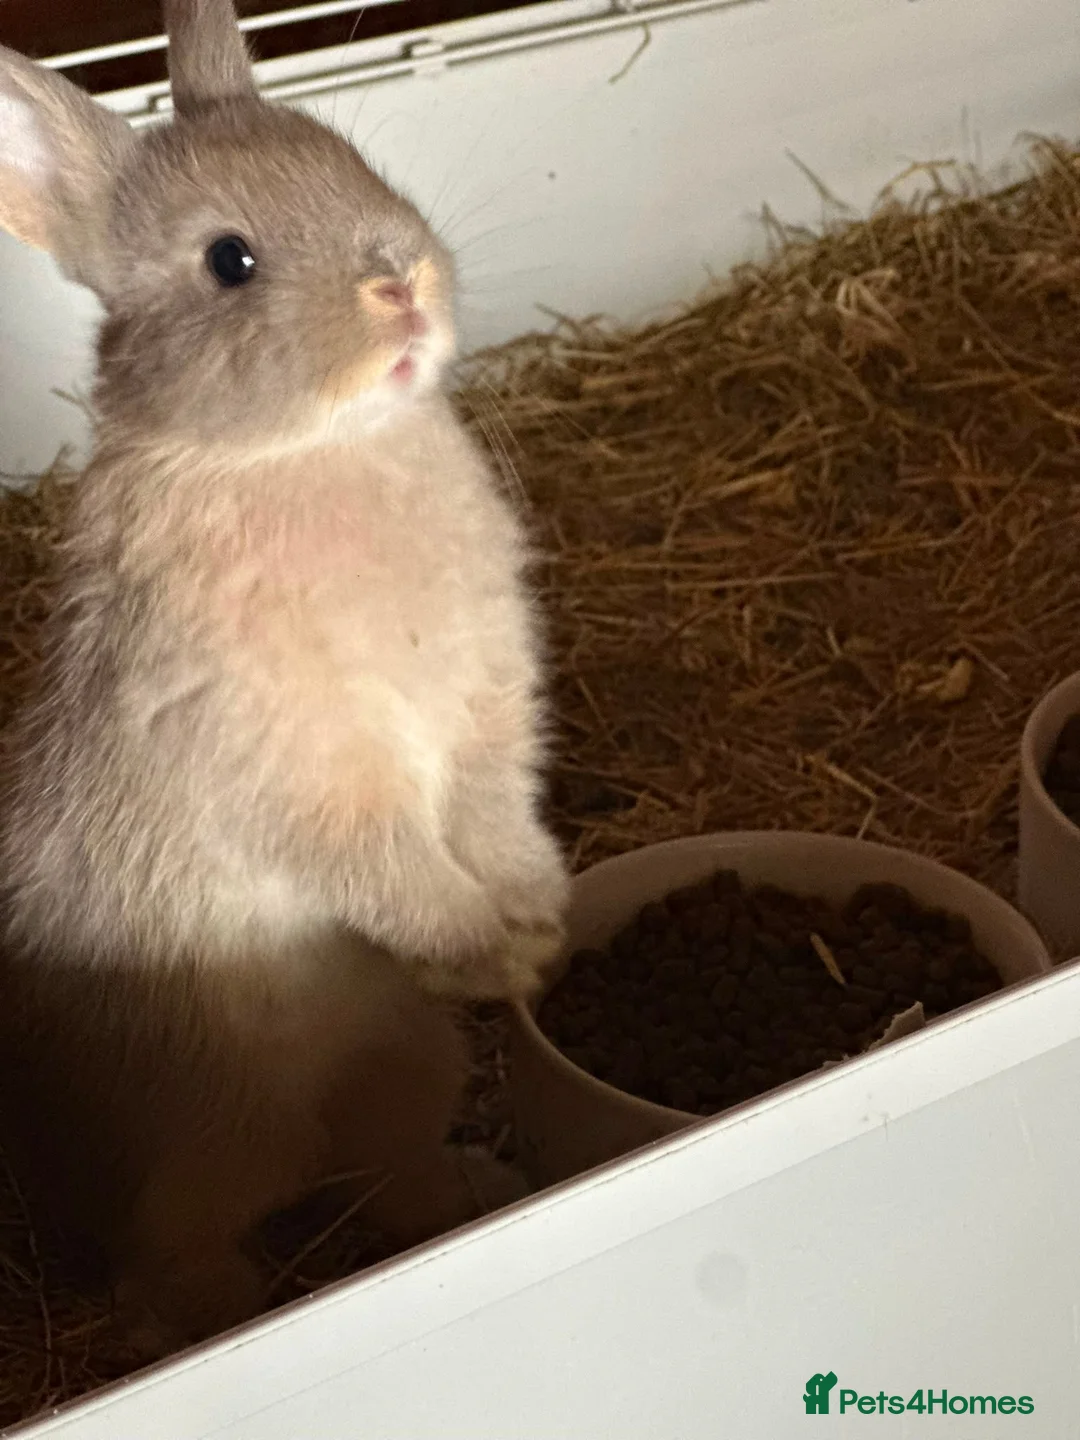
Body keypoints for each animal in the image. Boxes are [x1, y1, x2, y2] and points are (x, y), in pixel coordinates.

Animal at [0, 0, 568, 1348]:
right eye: (230, 263)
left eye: (348, 159)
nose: (397, 282)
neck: (303, 449)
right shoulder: (309, 778)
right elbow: (394, 867)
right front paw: (494, 952)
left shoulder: (486, 713)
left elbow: (496, 813)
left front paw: (544, 925)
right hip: (215, 1141)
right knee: (173, 1253)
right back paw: (214, 1314)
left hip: (409, 1062)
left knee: (389, 1169)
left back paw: (479, 1188)